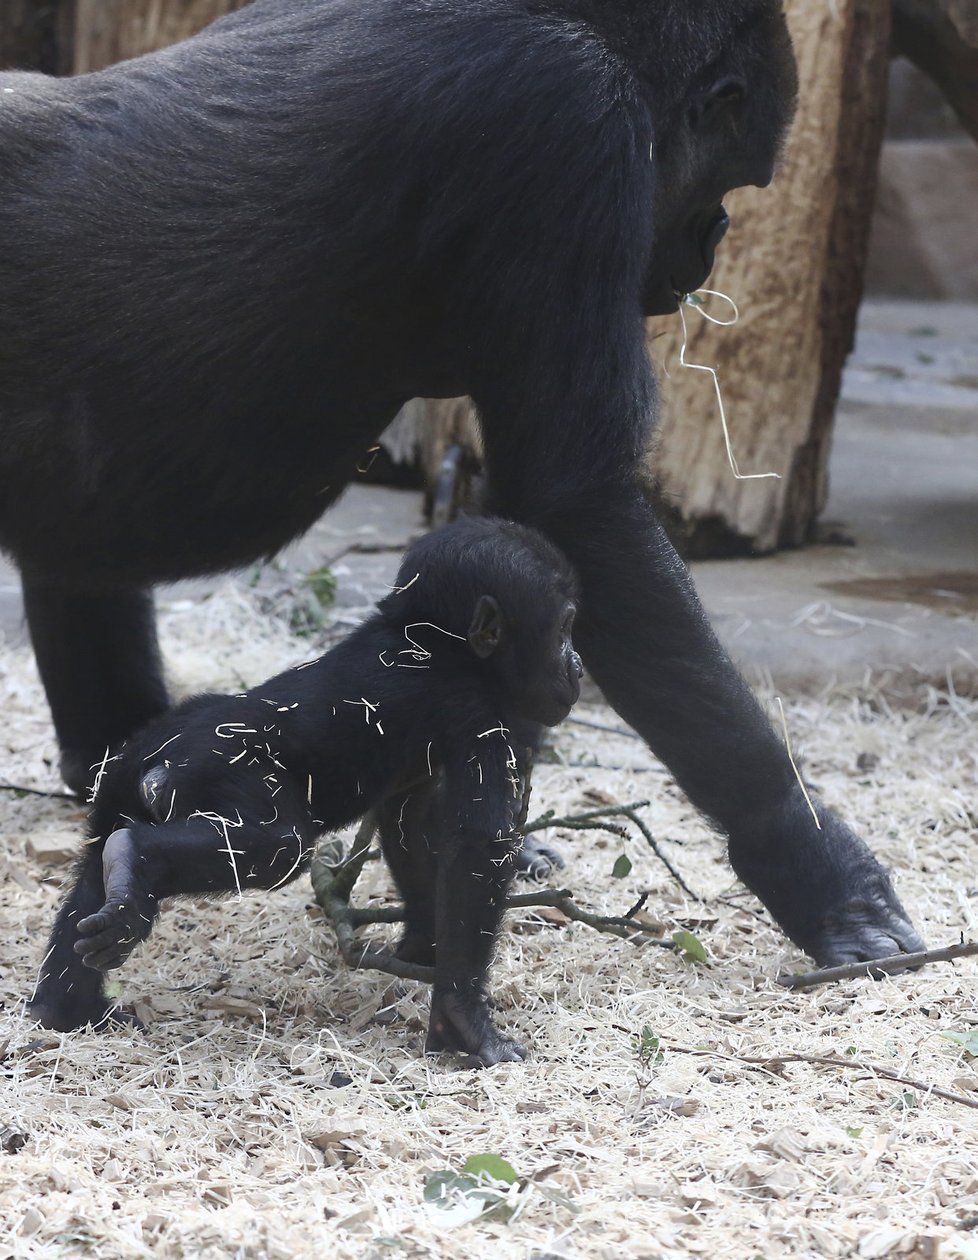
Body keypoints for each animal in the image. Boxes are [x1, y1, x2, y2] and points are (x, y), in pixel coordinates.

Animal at [28, 519, 579, 1063]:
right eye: (562, 629)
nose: (574, 663)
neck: (438, 641)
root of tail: (154, 756)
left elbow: (413, 821)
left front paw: (424, 947)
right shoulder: (477, 711)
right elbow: (478, 847)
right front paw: (463, 1020)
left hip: (118, 782)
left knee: (99, 856)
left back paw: (69, 1004)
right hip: (223, 769)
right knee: (277, 845)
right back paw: (136, 860)